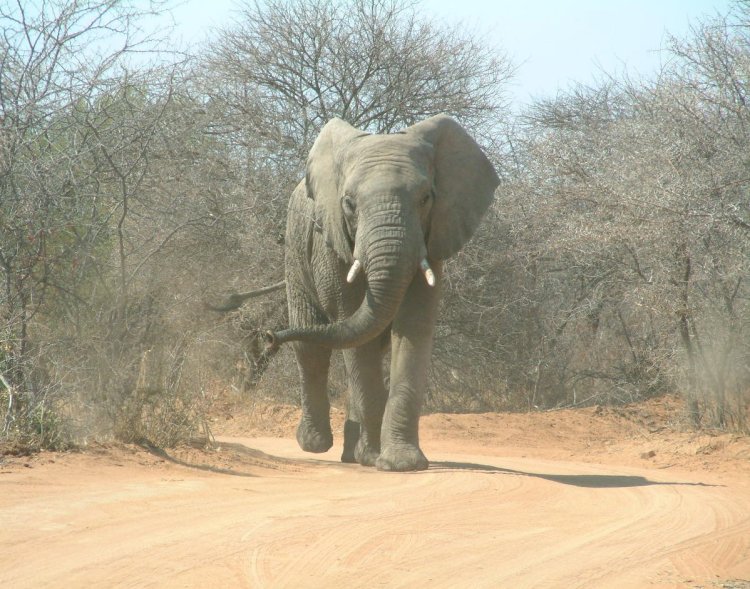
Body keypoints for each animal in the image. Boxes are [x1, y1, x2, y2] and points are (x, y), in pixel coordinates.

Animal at [267, 114, 499, 471]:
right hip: (294, 248)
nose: (267, 337)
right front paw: (376, 458)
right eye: (349, 204)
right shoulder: (331, 244)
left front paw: (401, 463)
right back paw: (317, 445)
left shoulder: (433, 237)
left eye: (426, 199)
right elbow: (352, 324)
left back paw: (352, 455)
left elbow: (413, 327)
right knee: (313, 346)